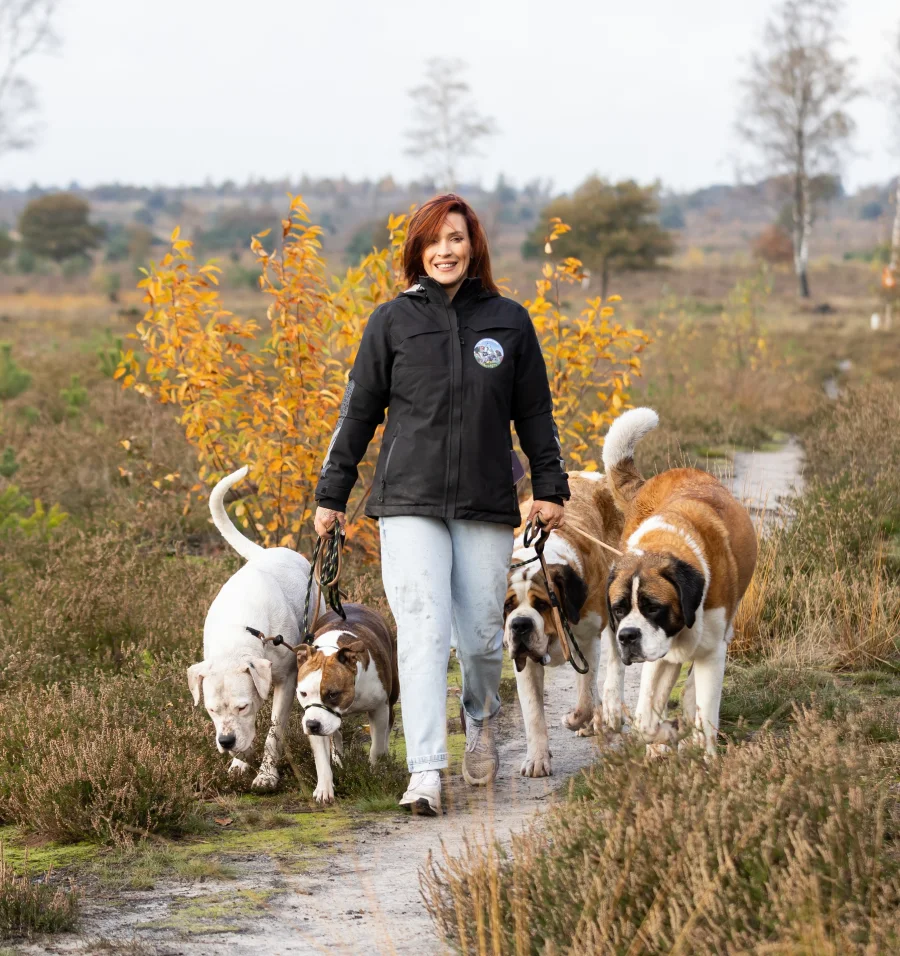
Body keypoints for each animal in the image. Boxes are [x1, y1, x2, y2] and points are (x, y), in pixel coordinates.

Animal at [187, 466, 320, 788]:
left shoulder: (286, 680)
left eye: (242, 706)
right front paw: (239, 762)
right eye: (211, 710)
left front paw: (267, 774)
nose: (226, 741)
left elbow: (274, 731)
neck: (237, 634)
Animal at [506, 470, 624, 776]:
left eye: (542, 604)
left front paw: (575, 719)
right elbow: (533, 712)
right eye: (508, 605)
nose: (520, 625)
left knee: (615, 662)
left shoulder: (587, 641)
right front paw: (537, 759)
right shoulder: (524, 662)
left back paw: (610, 712)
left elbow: (585, 696)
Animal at [600, 408, 756, 756]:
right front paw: (667, 734)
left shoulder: (712, 652)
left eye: (652, 607)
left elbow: (705, 714)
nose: (628, 636)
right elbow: (646, 720)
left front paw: (703, 754)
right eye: (619, 609)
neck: (666, 545)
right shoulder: (659, 654)